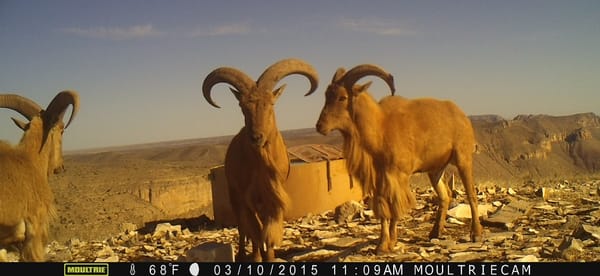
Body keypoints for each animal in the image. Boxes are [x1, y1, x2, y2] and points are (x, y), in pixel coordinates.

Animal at [203, 57, 318, 260]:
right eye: (243, 107)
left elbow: (268, 231)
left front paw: (270, 255)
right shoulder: (247, 198)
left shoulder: (273, 197)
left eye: (270, 104)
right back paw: (245, 254)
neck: (261, 165)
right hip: (235, 196)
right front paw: (258, 257)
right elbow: (255, 231)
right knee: (243, 228)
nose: (256, 137)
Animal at [310, 64, 482, 252]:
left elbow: (395, 207)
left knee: (471, 194)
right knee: (445, 196)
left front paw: (390, 242)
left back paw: (476, 234)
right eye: (326, 96)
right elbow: (383, 209)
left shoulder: (397, 176)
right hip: (435, 169)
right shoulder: (379, 179)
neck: (381, 128)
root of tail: (462, 115)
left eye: (342, 97)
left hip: (463, 158)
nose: (320, 126)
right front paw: (382, 244)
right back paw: (435, 232)